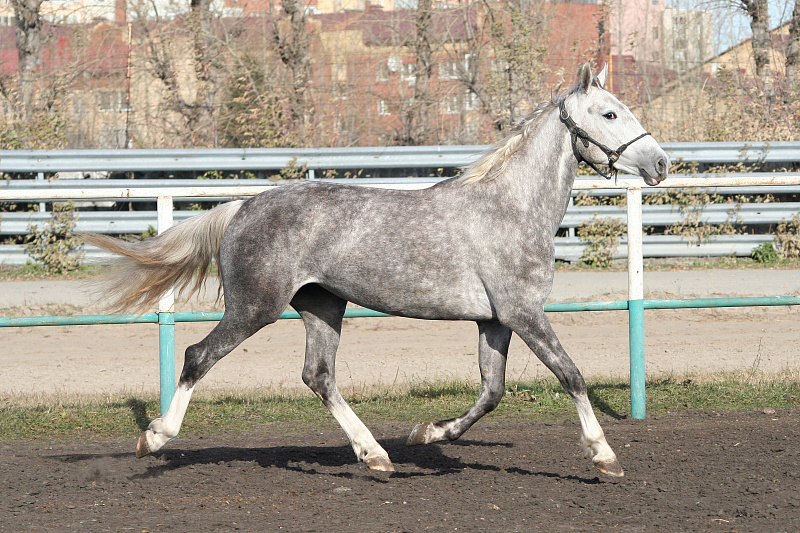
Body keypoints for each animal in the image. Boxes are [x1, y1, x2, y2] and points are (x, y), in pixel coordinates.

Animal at [83, 63, 669, 477]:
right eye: (610, 114)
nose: (661, 164)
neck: (511, 208)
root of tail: (241, 208)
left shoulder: (495, 321)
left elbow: (492, 391)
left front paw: (427, 433)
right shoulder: (525, 314)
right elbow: (571, 374)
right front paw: (604, 456)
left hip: (322, 305)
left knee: (318, 376)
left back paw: (375, 455)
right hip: (255, 308)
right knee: (197, 357)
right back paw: (154, 438)